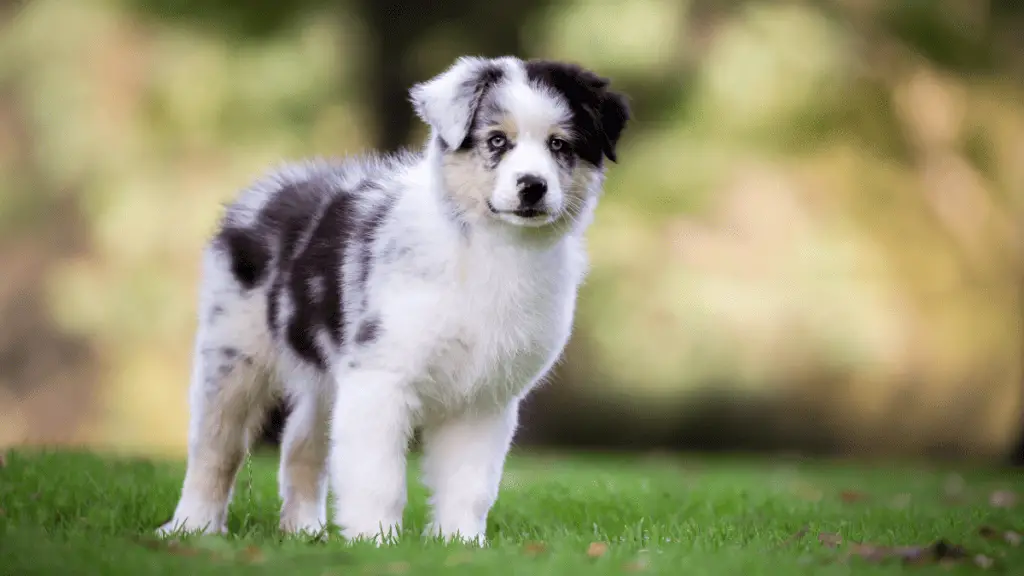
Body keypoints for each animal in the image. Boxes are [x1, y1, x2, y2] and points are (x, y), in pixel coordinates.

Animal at [156, 54, 626, 541]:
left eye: (559, 145)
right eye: (497, 140)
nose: (533, 186)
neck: (491, 248)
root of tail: (267, 189)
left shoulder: (485, 397)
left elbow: (470, 482)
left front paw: (460, 542)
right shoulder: (381, 374)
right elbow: (377, 474)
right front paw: (374, 540)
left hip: (323, 378)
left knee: (301, 444)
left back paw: (304, 531)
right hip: (233, 353)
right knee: (215, 447)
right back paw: (192, 527)